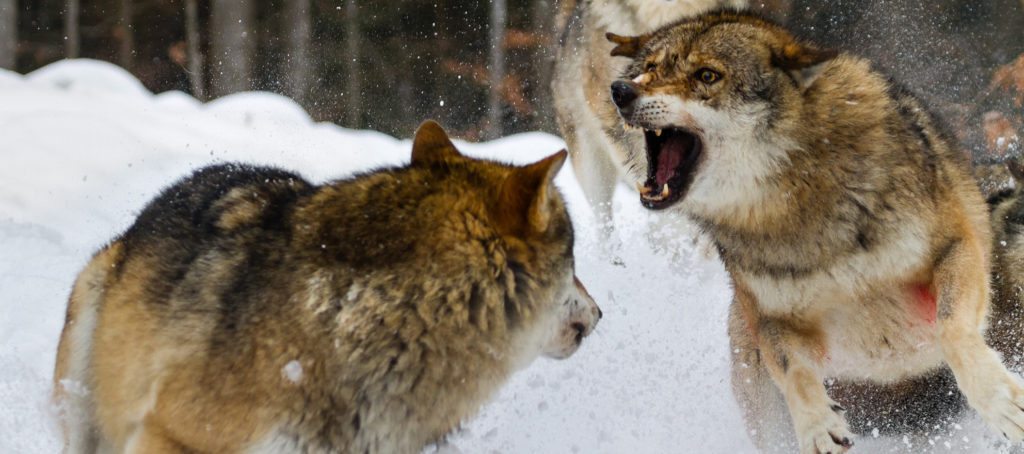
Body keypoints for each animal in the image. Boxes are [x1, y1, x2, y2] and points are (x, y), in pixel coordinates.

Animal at [608, 9, 1024, 452]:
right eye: (651, 68)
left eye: (707, 75)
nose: (621, 90)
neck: (796, 203)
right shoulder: (775, 322)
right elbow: (796, 374)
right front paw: (818, 428)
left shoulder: (955, 249)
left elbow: (952, 330)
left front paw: (1000, 400)